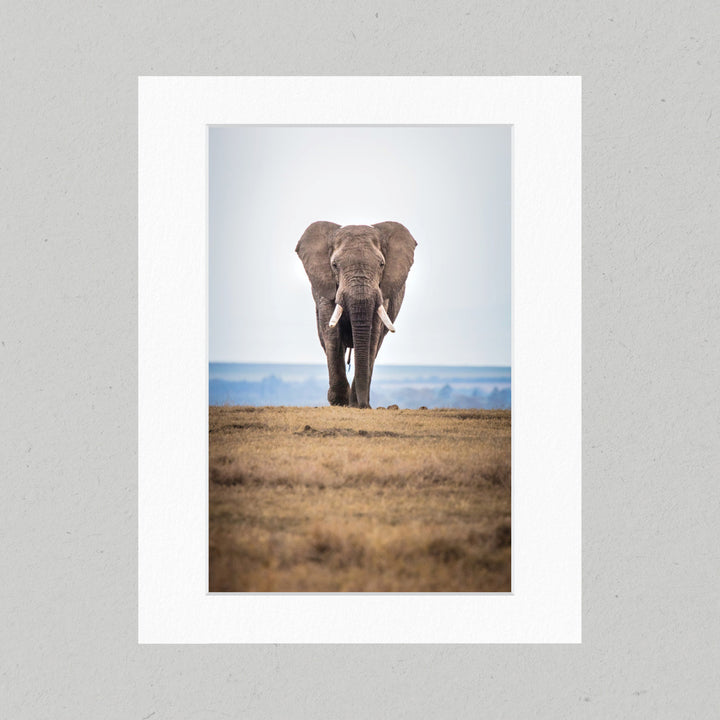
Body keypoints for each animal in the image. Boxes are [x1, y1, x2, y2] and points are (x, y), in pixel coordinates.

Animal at [296, 221, 417, 409]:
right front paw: (339, 402)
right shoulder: (326, 289)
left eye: (381, 265)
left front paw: (353, 403)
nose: (363, 405)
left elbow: (372, 337)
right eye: (334, 265)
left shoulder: (382, 294)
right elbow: (332, 333)